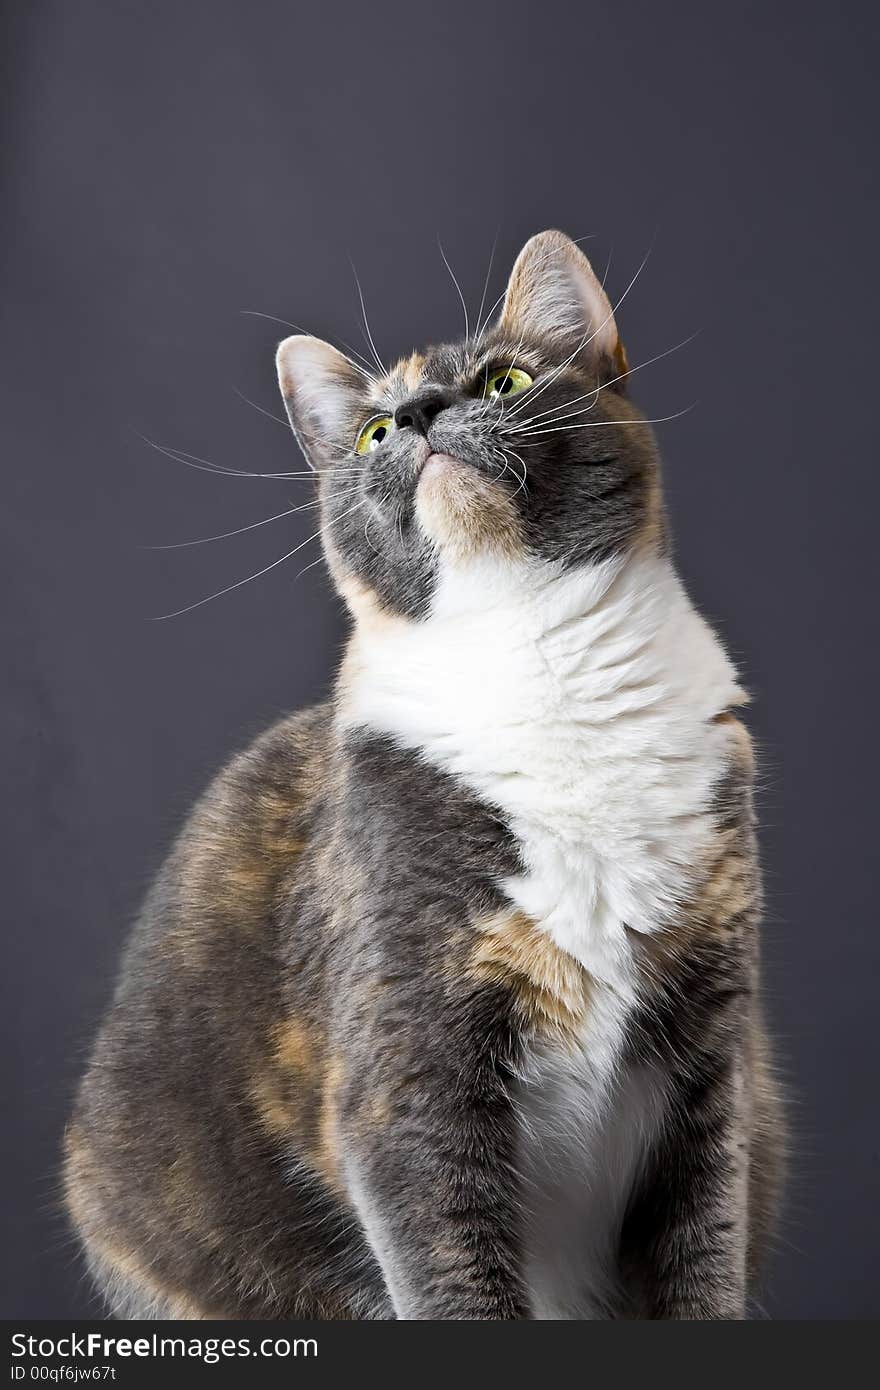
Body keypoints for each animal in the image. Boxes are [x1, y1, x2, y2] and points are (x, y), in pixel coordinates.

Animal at [67, 227, 784, 1312]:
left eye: (502, 379)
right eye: (371, 433)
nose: (417, 417)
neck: (543, 667)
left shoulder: (714, 1065)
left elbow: (706, 1255)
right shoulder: (405, 1071)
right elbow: (450, 1270)